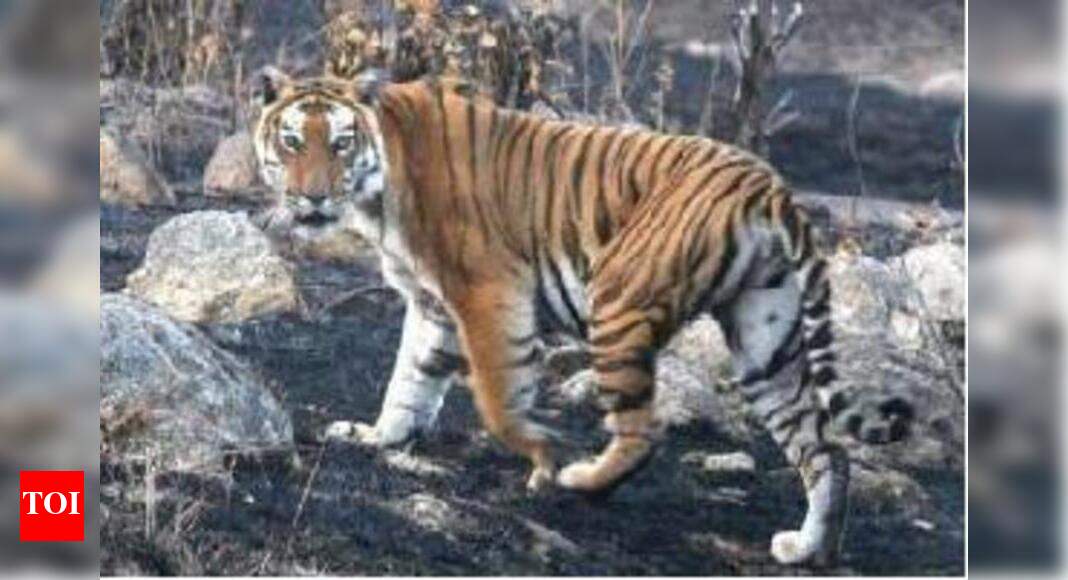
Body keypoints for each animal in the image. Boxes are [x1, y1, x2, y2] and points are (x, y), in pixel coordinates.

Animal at [250, 68, 914, 566]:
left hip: (617, 300)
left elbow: (498, 394)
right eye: (292, 141)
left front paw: (542, 457)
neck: (380, 186)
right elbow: (409, 381)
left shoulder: (489, 293)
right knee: (825, 451)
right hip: (764, 339)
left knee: (645, 431)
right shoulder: (432, 303)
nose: (312, 198)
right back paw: (808, 550)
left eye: (340, 143)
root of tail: (770, 187)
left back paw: (582, 480)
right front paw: (378, 437)